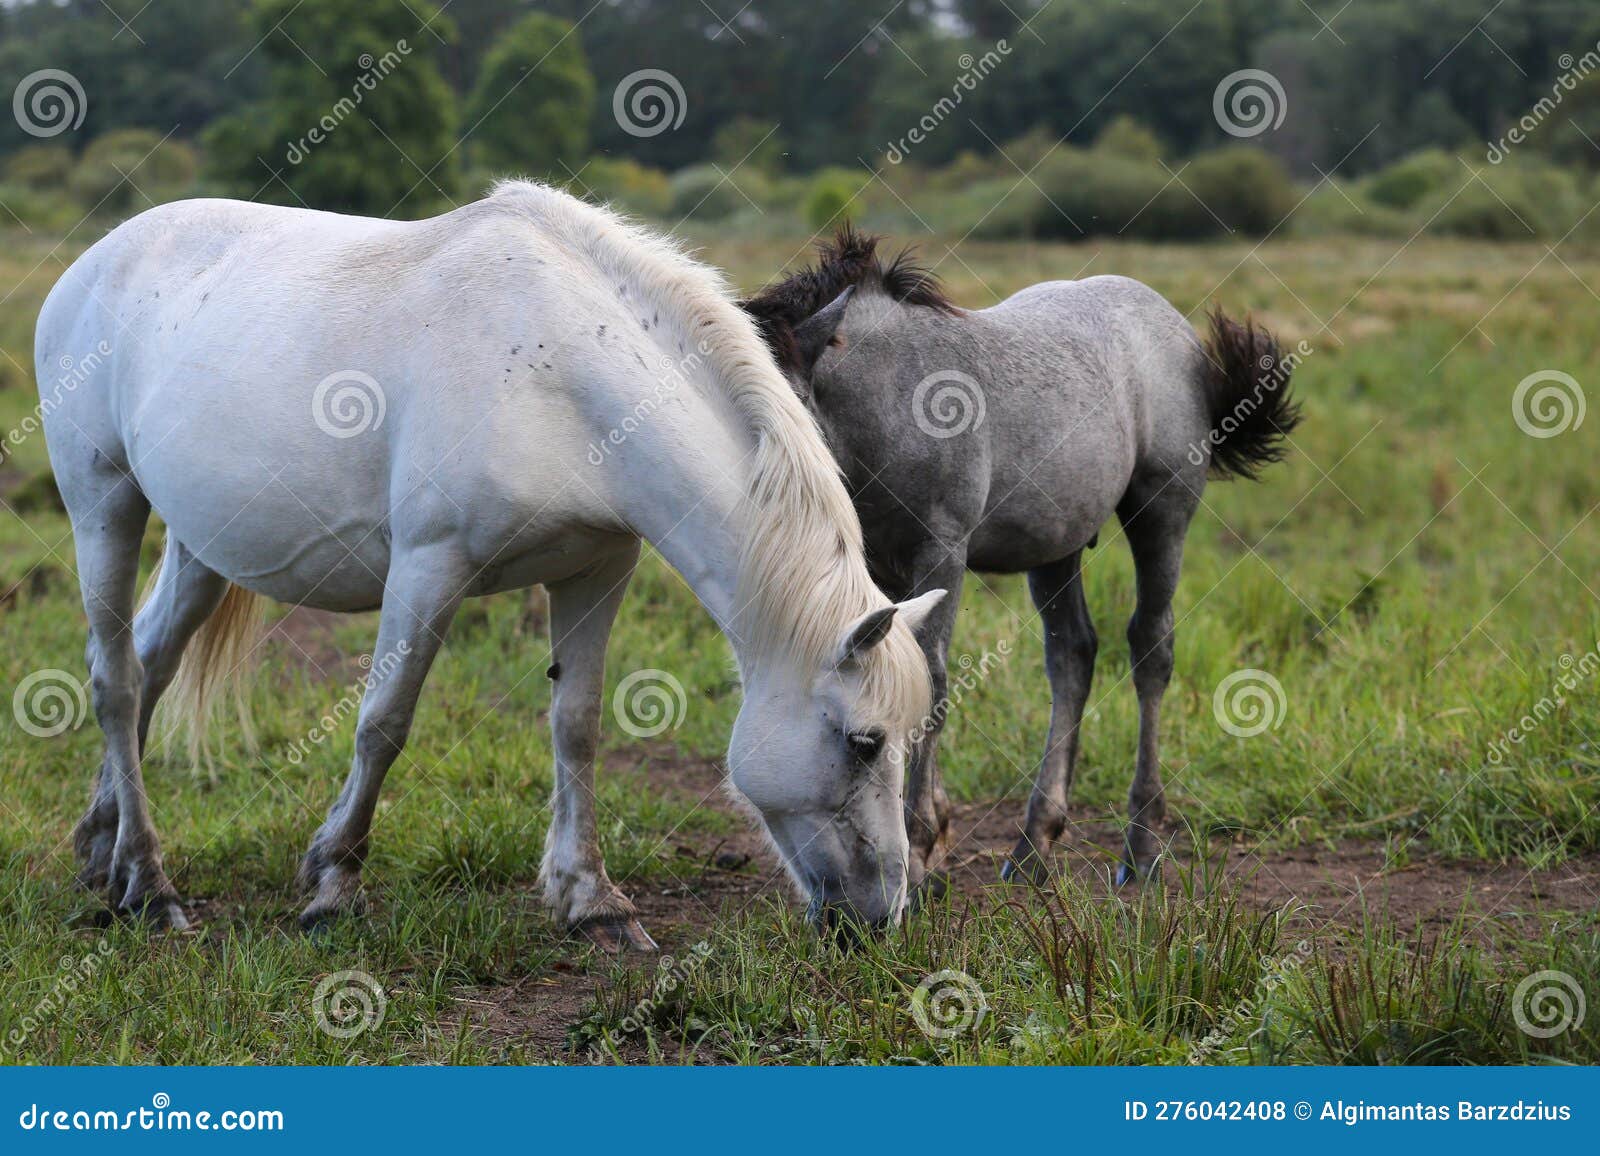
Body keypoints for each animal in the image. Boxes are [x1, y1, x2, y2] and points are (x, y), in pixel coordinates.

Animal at [35, 184, 944, 950]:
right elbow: (383, 724)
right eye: (863, 742)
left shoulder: (597, 570)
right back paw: (149, 883)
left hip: (198, 547)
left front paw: (592, 901)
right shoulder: (429, 567)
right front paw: (332, 884)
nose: (885, 917)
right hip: (104, 505)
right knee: (115, 681)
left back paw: (101, 847)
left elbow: (576, 725)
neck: (558, 373)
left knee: (149, 662)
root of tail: (90, 264)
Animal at [743, 227, 1300, 890]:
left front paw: (923, 844)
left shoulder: (943, 548)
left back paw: (1140, 846)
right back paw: (1034, 842)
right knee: (1073, 655)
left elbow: (932, 678)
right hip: (1055, 546)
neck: (889, 399)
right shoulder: (874, 567)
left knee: (1151, 650)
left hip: (1161, 514)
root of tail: (1175, 326)